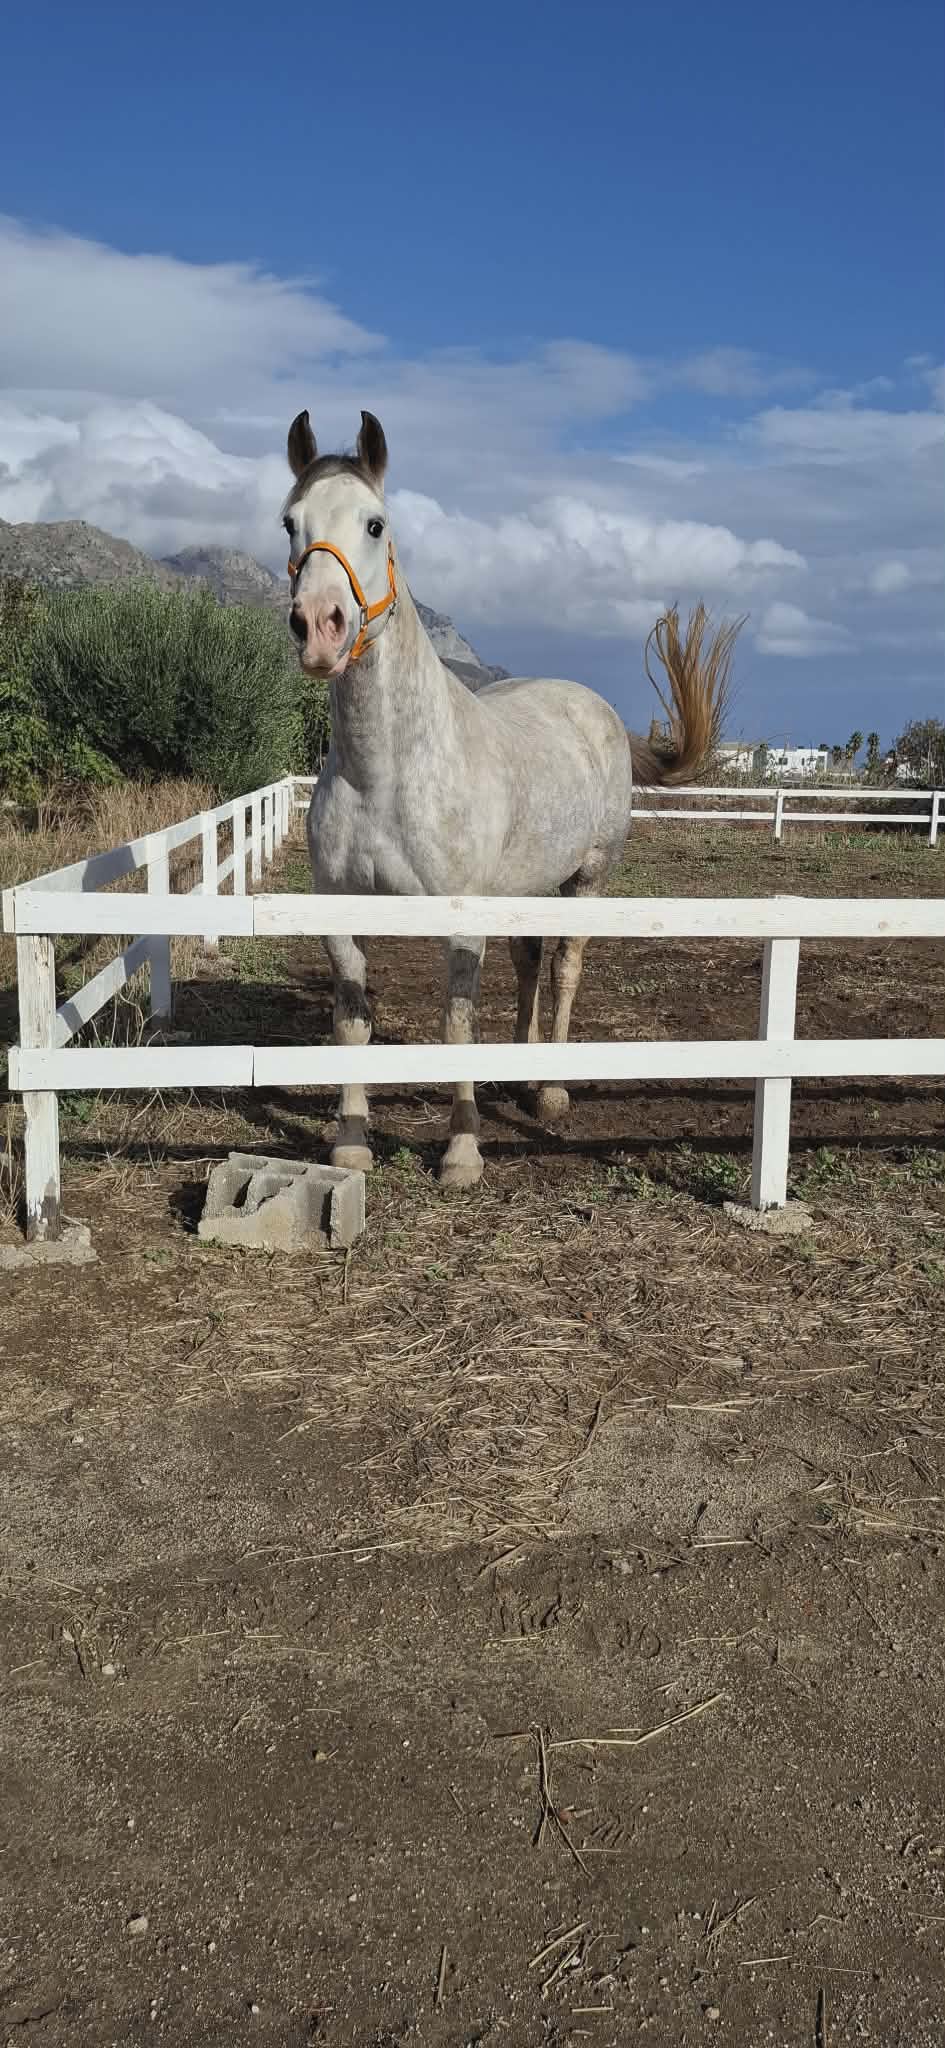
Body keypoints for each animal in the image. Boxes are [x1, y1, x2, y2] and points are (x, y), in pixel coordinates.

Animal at [282, 408, 738, 1188]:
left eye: (375, 523)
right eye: (290, 522)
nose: (319, 626)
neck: (386, 776)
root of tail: (590, 706)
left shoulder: (462, 920)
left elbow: (456, 1024)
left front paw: (463, 1152)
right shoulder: (341, 913)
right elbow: (351, 1022)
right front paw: (350, 1142)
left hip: (587, 878)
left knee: (564, 968)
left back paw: (549, 1088)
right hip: (527, 883)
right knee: (529, 959)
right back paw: (518, 1072)